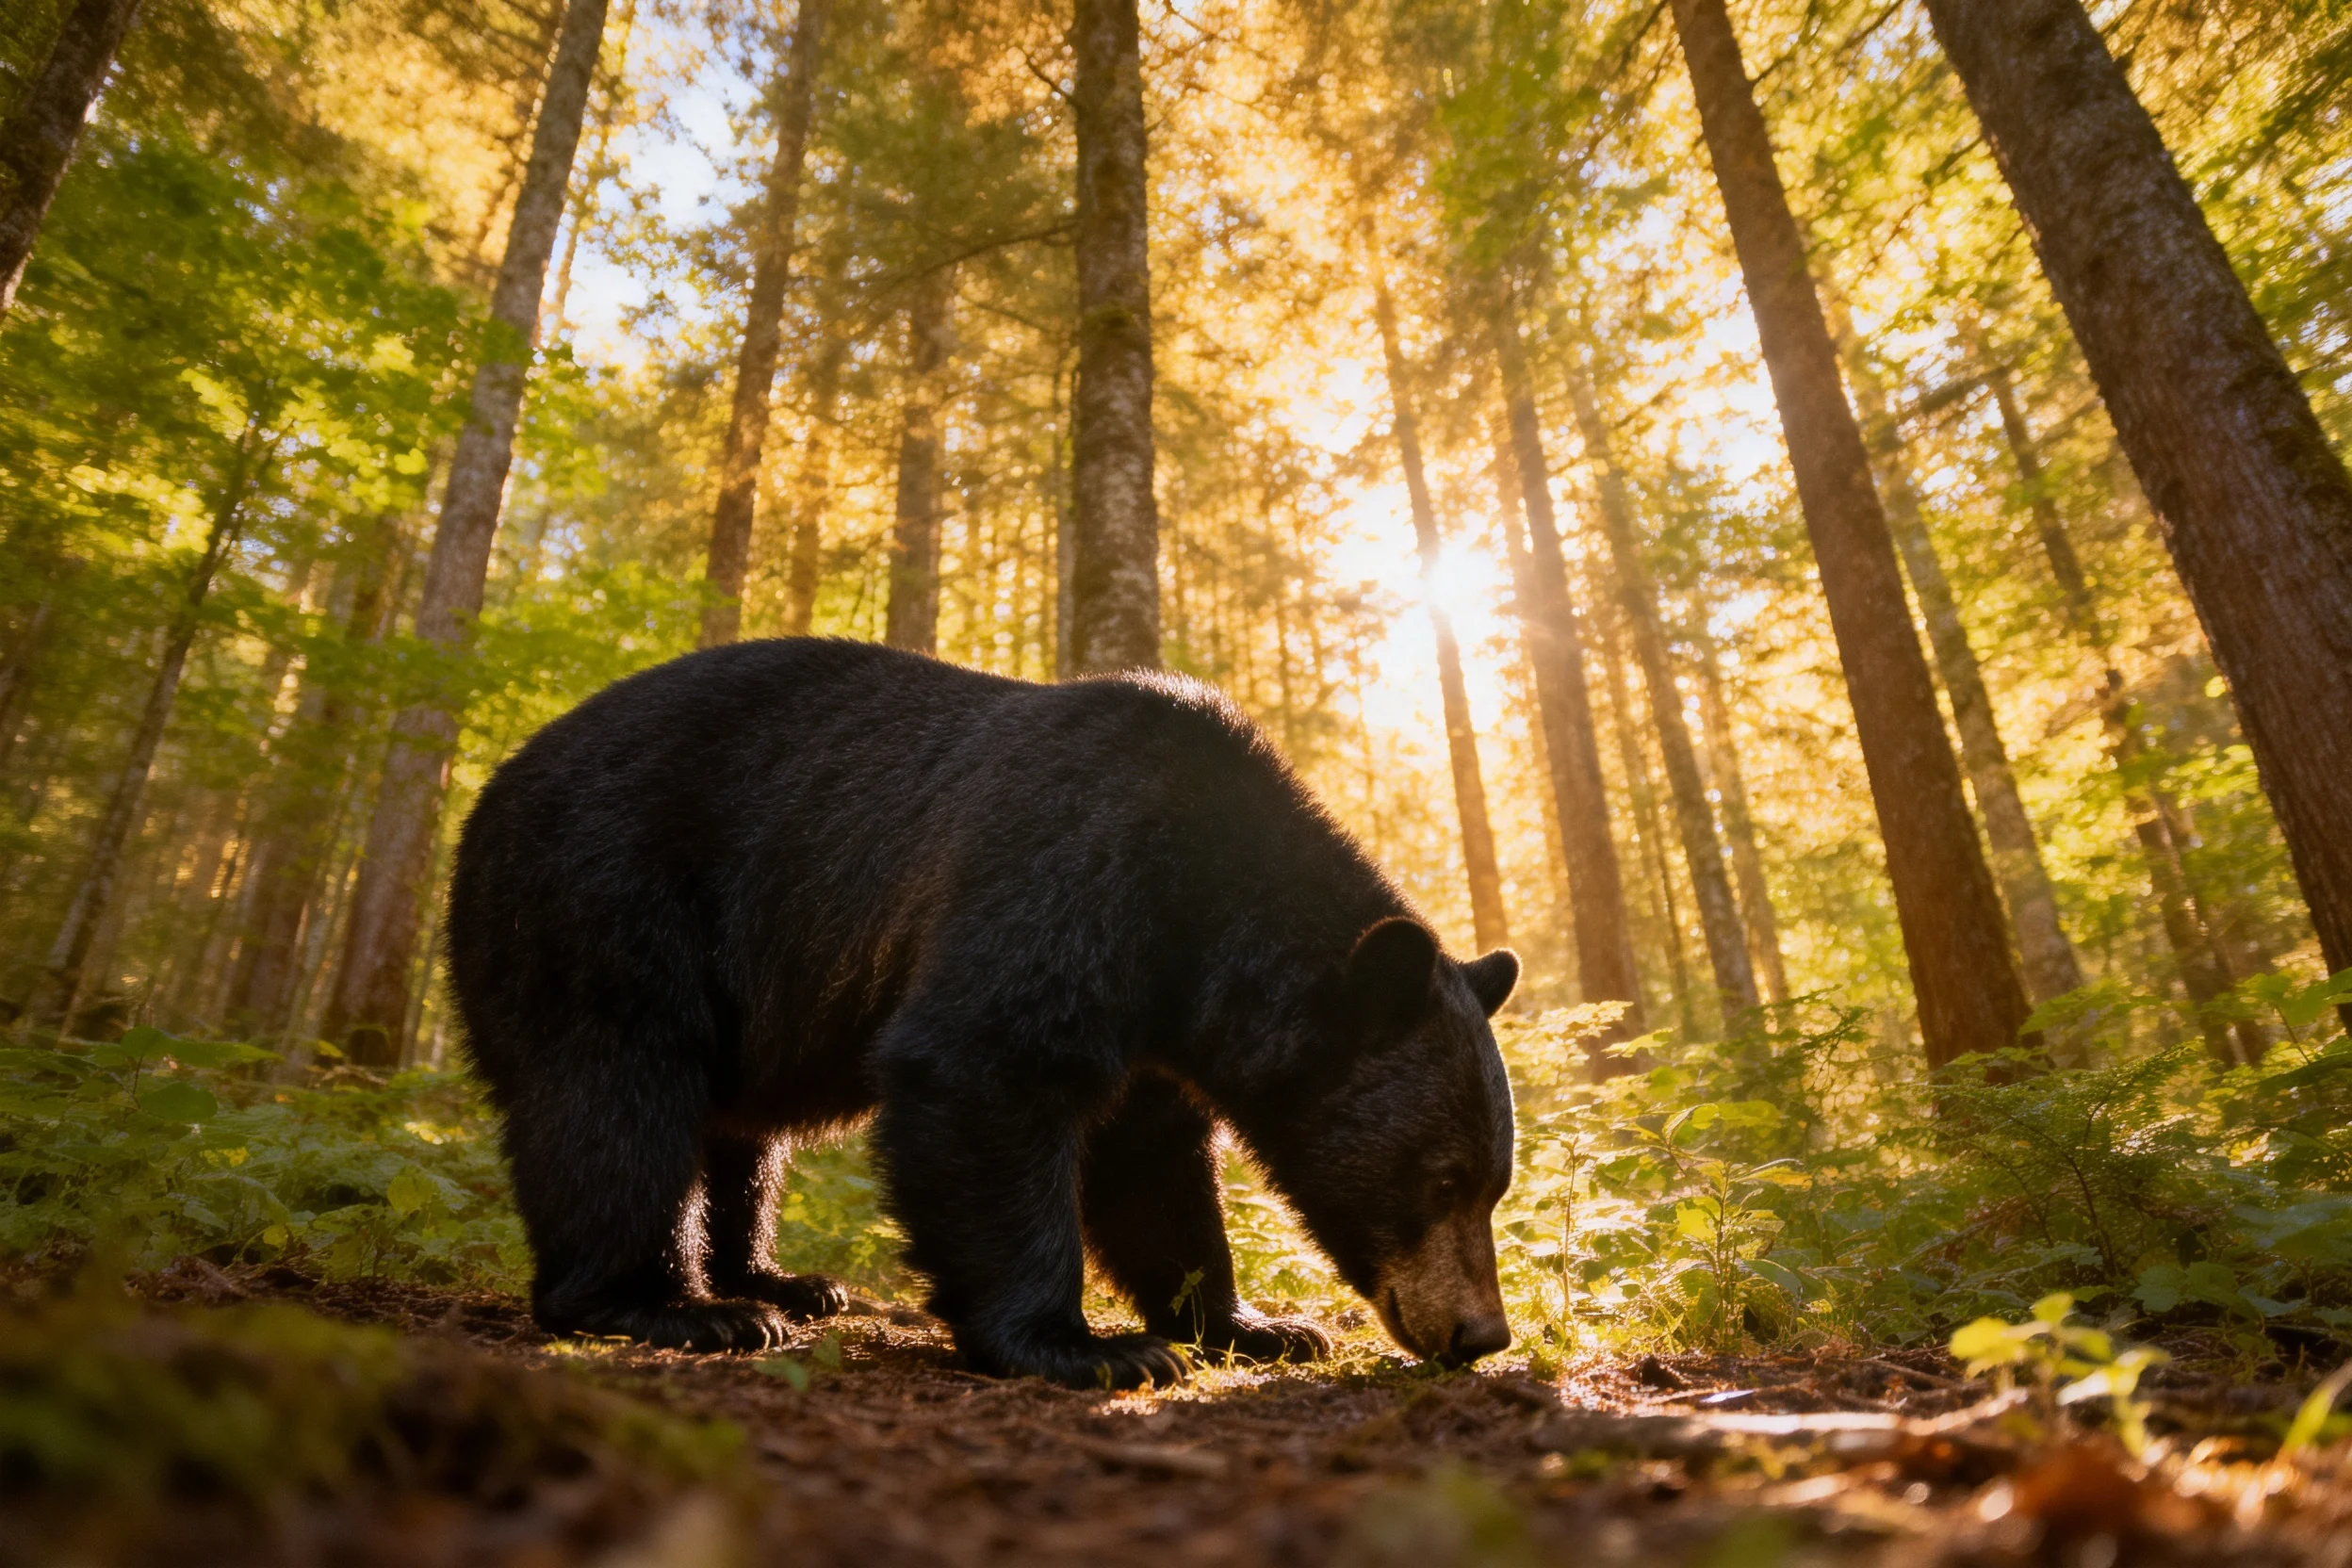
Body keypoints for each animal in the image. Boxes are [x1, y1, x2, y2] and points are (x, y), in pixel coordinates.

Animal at [444, 638, 1520, 1388]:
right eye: (1443, 1178)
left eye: (1493, 1183)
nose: (1481, 1332)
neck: (1203, 909)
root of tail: (487, 794)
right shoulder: (1063, 864)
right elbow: (984, 1071)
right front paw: (1087, 1347)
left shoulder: (1158, 1026)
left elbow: (1153, 1167)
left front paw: (1256, 1324)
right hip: (606, 894)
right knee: (617, 1088)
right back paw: (674, 1304)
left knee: (740, 1135)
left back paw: (775, 1279)